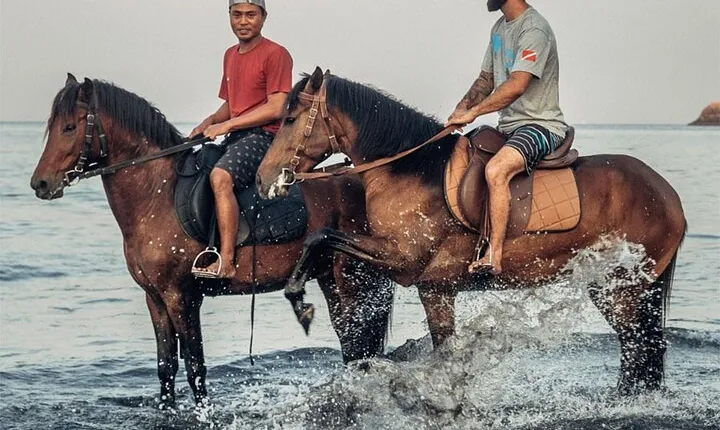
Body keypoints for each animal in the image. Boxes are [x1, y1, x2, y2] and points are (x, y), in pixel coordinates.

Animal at [30, 74, 394, 407]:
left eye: (69, 128)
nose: (40, 184)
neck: (156, 195)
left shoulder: (181, 297)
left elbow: (195, 366)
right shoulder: (155, 299)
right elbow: (165, 367)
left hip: (353, 280)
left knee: (359, 343)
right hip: (329, 278)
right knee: (352, 344)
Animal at [256, 68, 687, 395]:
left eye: (290, 119)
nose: (263, 179)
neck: (410, 171)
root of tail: (669, 196)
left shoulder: (403, 260)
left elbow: (321, 236)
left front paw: (300, 302)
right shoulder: (435, 288)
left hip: (624, 290)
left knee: (640, 347)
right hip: (615, 288)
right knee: (642, 349)